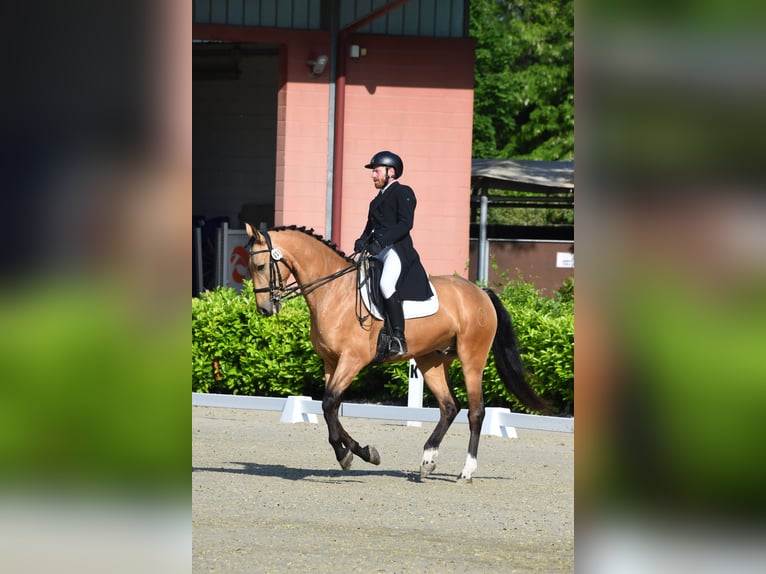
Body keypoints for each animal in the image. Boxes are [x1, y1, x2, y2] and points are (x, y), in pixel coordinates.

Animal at [243, 223, 548, 484]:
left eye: (260, 265)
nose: (264, 309)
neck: (333, 293)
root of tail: (481, 292)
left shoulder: (352, 360)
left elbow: (329, 404)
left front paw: (346, 456)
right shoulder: (331, 363)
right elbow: (331, 407)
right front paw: (363, 452)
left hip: (472, 357)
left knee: (476, 411)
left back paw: (466, 471)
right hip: (431, 360)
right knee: (449, 406)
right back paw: (427, 461)